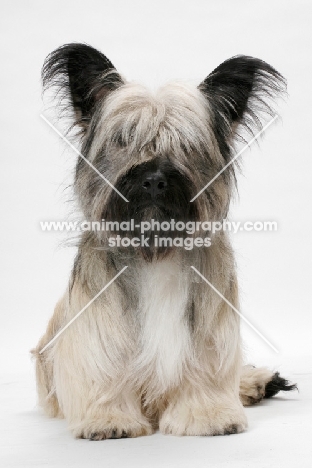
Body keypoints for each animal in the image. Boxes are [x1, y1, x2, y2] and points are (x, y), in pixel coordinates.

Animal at [32, 44, 298, 438]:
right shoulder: (97, 327)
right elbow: (104, 366)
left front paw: (207, 414)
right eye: (124, 139)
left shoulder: (209, 328)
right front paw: (108, 418)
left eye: (187, 145)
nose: (155, 179)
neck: (155, 249)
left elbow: (205, 367)